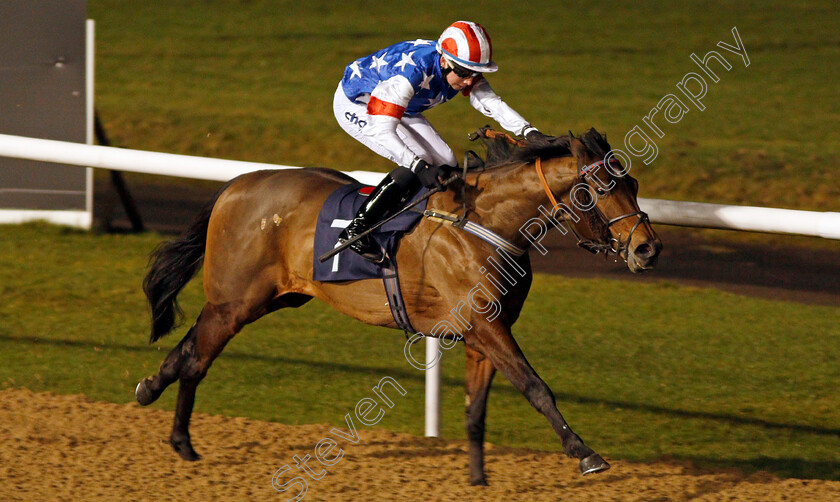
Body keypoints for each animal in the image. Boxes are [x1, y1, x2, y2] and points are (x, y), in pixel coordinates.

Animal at [135, 127, 664, 484]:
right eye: (603, 189)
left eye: (635, 185)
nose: (647, 249)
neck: (487, 222)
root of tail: (233, 187)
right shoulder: (487, 327)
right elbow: (537, 388)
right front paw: (585, 452)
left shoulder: (483, 333)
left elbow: (476, 410)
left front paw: (478, 479)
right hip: (235, 302)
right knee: (198, 359)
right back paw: (179, 437)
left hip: (270, 299)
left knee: (189, 350)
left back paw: (154, 397)